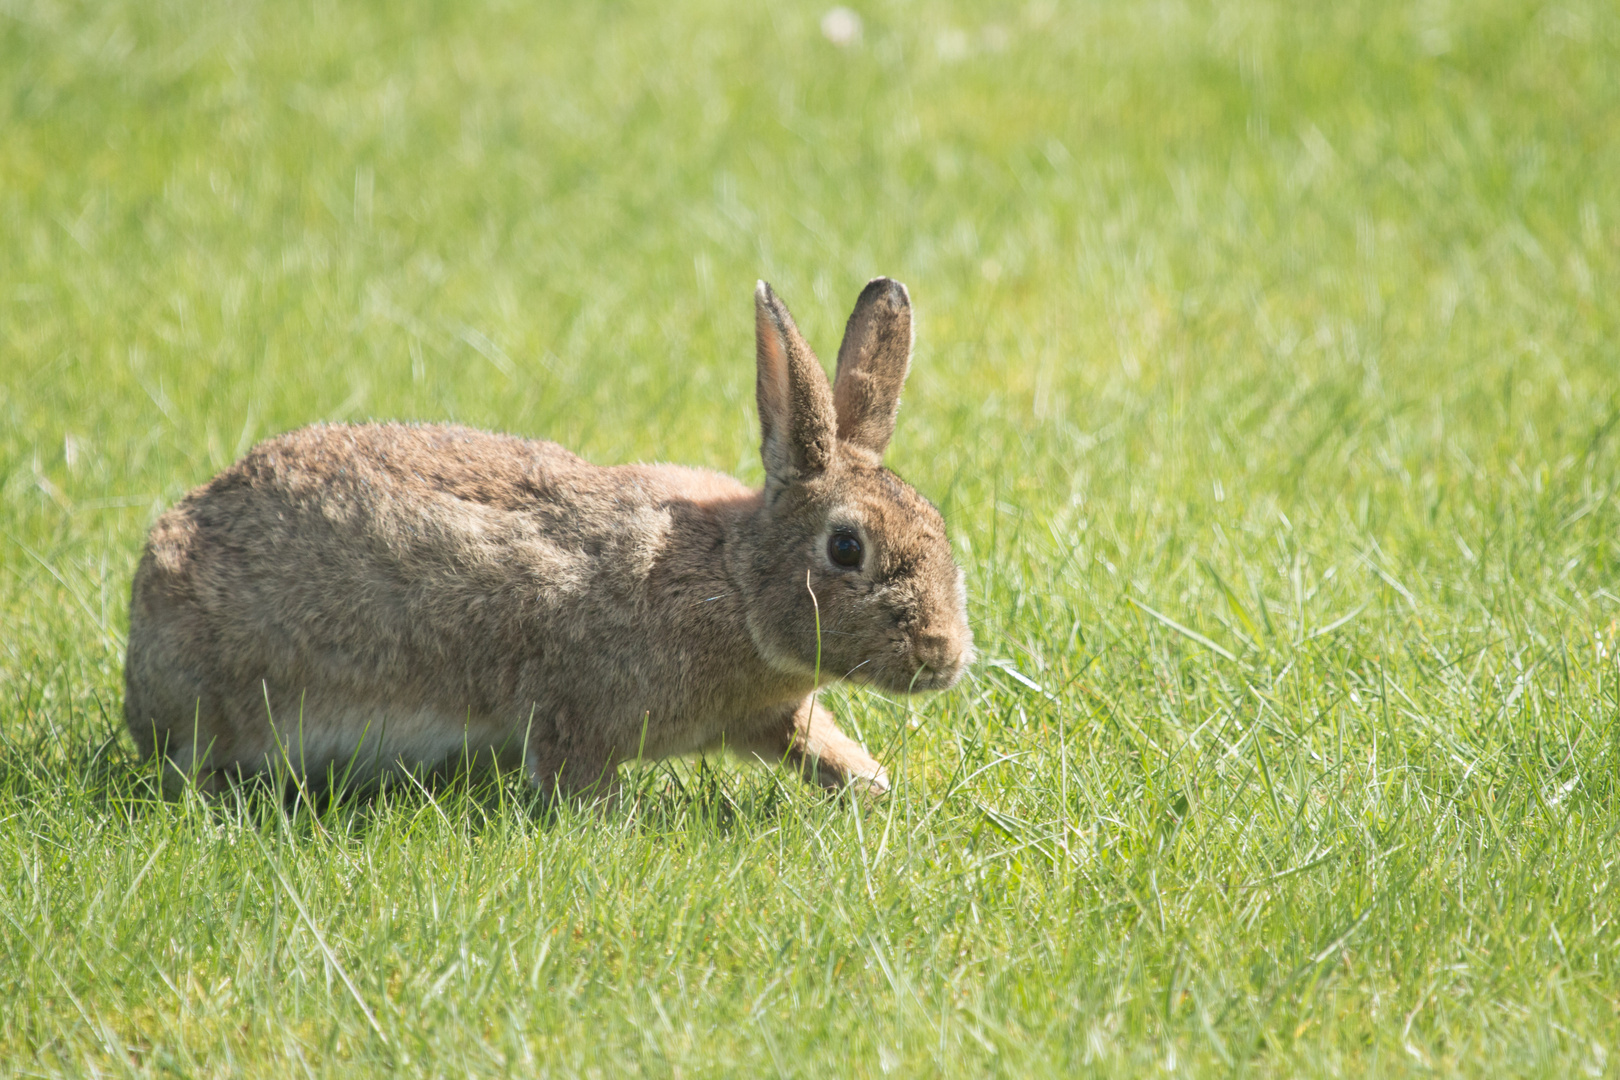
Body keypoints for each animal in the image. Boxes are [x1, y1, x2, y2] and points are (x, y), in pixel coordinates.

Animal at [126, 278, 972, 803]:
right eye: (846, 549)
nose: (944, 655)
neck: (733, 581)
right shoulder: (579, 706)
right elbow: (578, 773)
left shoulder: (771, 713)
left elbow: (814, 743)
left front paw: (876, 790)